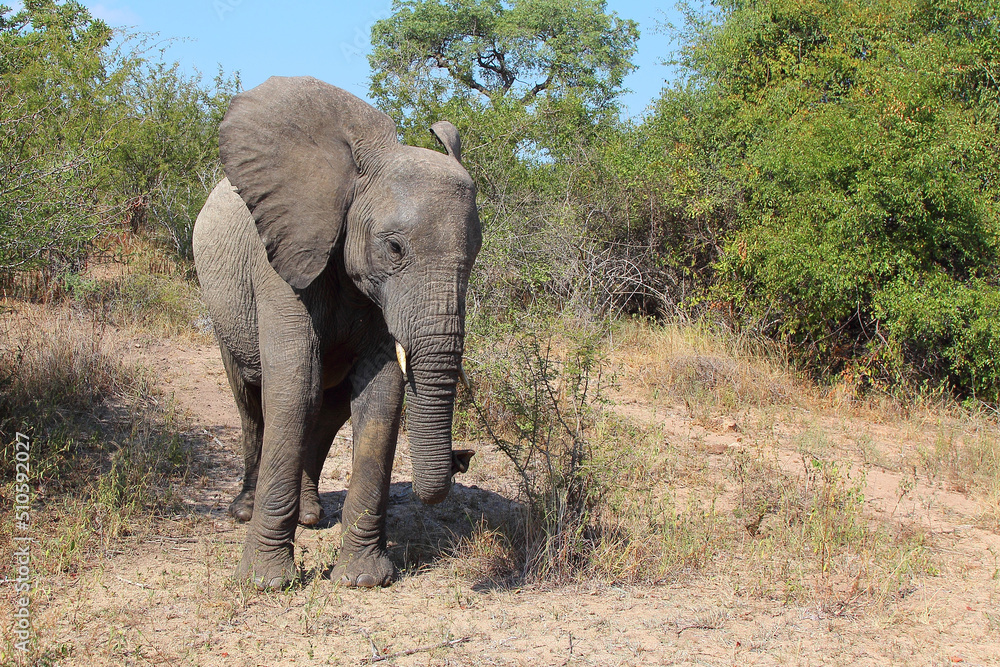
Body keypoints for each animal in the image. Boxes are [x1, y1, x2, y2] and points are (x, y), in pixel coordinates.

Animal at [192, 76, 481, 589]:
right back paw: (244, 510)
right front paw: (266, 583)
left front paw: (364, 580)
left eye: (477, 251)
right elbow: (292, 388)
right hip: (222, 303)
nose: (462, 457)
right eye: (394, 248)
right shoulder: (282, 259)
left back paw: (309, 517)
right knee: (250, 398)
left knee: (327, 411)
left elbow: (380, 397)